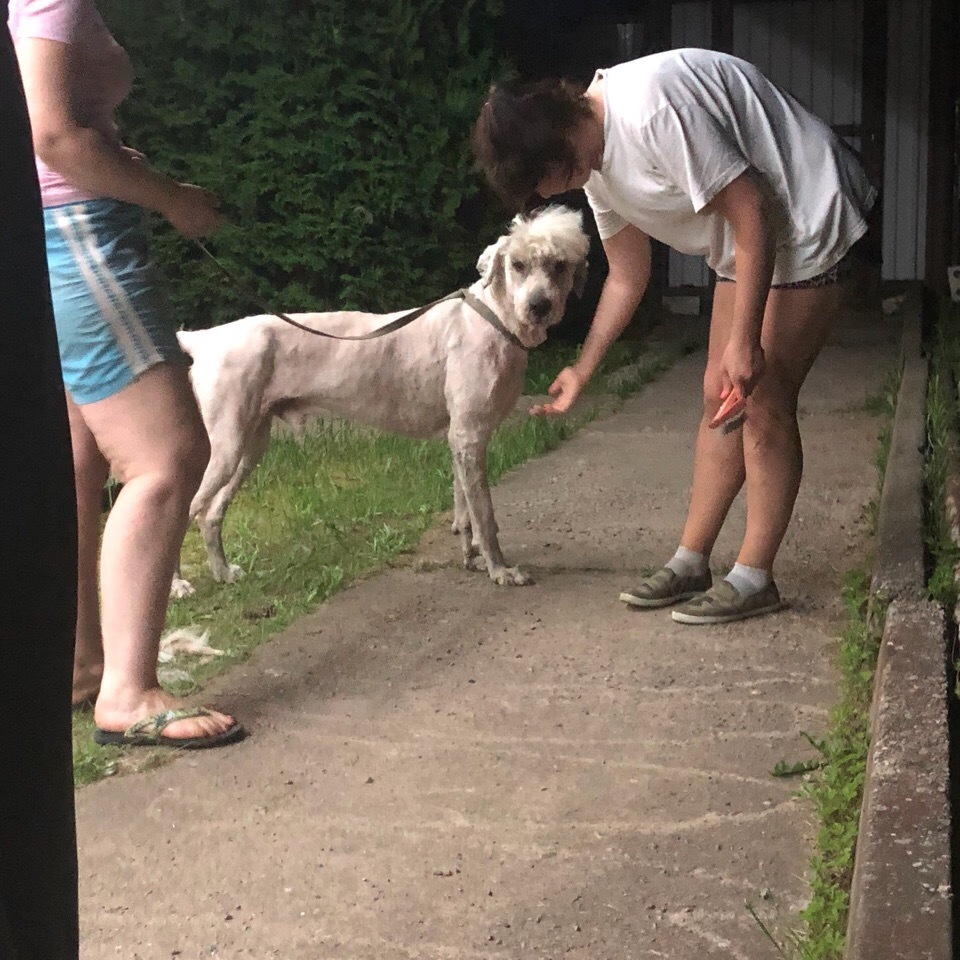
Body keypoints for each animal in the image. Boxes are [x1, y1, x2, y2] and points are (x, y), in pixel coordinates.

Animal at [175, 204, 588, 592]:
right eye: (517, 264)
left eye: (559, 265)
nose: (540, 306)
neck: (495, 318)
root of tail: (206, 338)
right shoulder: (469, 436)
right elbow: (484, 514)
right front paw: (500, 570)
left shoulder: (462, 440)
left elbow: (464, 507)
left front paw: (471, 556)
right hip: (226, 447)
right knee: (187, 510)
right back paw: (179, 584)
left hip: (251, 446)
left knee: (210, 514)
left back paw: (222, 572)